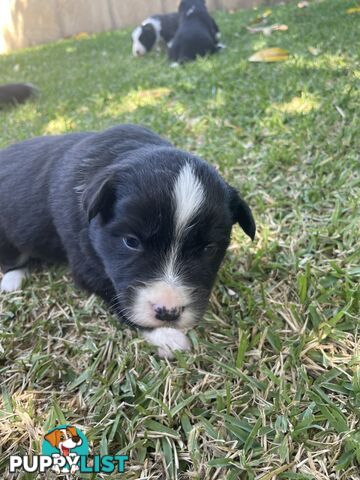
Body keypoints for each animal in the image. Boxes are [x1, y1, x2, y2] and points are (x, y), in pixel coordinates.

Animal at [0, 125, 255, 358]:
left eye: (208, 249)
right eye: (131, 242)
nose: (168, 313)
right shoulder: (86, 265)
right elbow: (118, 298)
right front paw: (165, 336)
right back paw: (13, 279)